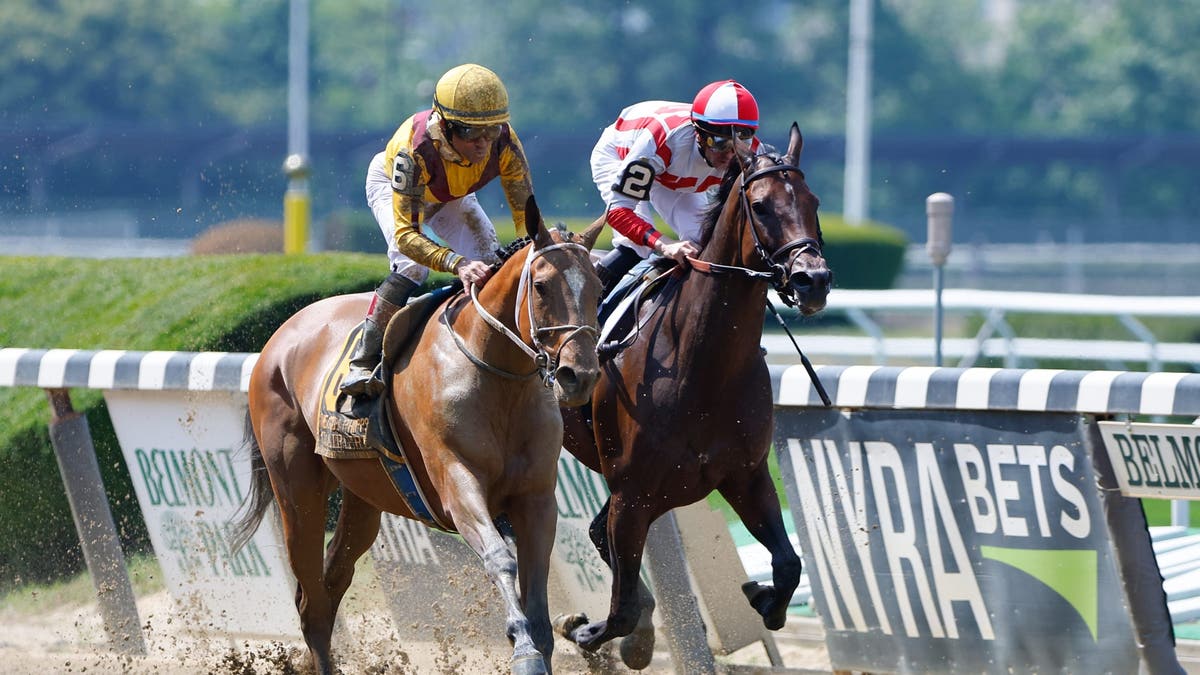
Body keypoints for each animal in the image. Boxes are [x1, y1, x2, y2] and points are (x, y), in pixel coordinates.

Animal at [232, 195, 604, 672]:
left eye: (598, 287)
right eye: (540, 286)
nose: (580, 375)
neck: (496, 376)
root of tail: (278, 340)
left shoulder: (536, 498)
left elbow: (537, 592)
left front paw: (542, 640)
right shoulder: (457, 484)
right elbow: (500, 558)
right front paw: (522, 648)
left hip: (364, 498)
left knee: (332, 585)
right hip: (297, 494)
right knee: (311, 601)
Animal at [556, 123, 830, 662]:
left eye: (813, 202)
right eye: (761, 206)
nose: (814, 280)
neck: (702, 366)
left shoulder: (746, 476)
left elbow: (789, 565)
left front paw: (761, 596)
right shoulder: (633, 494)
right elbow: (617, 611)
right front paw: (583, 631)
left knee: (597, 532)